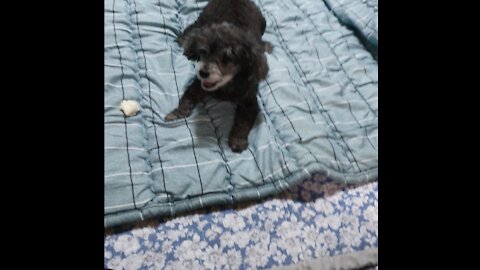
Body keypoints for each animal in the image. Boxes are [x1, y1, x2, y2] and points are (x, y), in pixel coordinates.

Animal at [164, 0, 270, 153]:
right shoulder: (197, 86)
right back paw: (187, 44)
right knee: (194, 28)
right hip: (206, 18)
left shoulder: (250, 102)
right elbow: (187, 99)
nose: (203, 73)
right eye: (204, 52)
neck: (226, 85)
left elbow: (243, 122)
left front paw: (238, 140)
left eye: (226, 59)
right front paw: (176, 113)